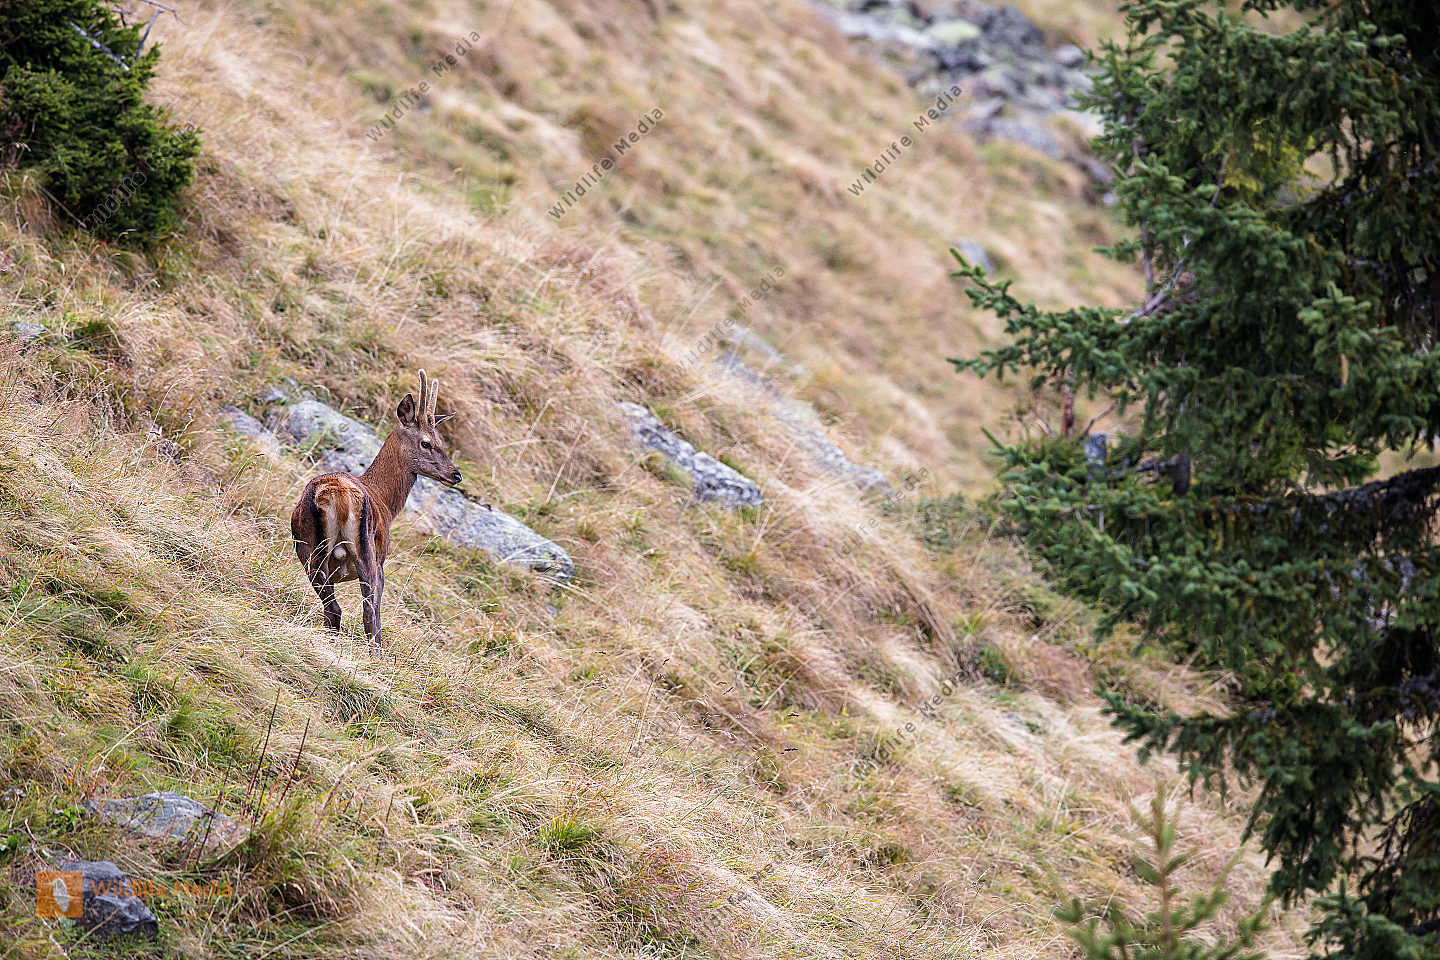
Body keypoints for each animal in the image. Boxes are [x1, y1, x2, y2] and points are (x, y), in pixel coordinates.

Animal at [291, 370, 462, 650]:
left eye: (441, 441)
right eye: (426, 443)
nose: (456, 475)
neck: (385, 501)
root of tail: (334, 495)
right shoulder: (381, 561)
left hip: (308, 550)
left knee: (332, 609)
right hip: (367, 552)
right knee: (369, 616)